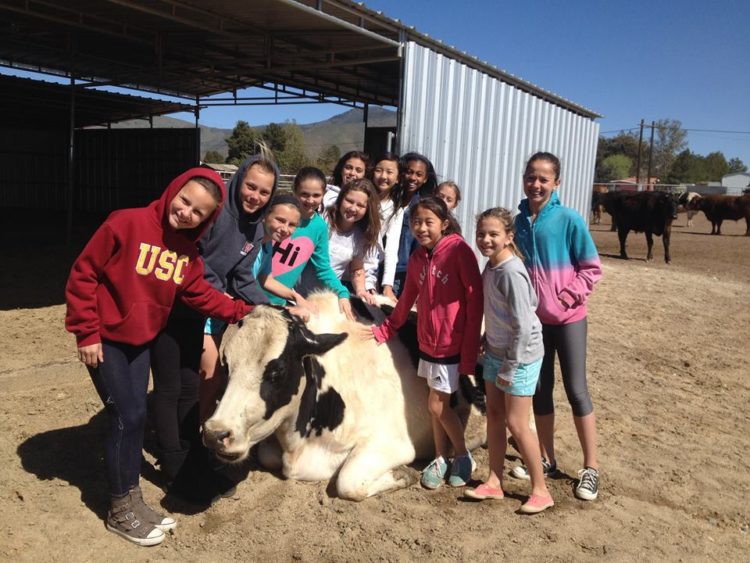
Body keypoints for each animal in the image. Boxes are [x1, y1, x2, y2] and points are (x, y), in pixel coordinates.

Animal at [204, 294, 488, 500]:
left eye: (277, 371)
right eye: (226, 365)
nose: (215, 433)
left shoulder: (393, 442)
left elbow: (348, 481)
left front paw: (402, 474)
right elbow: (267, 454)